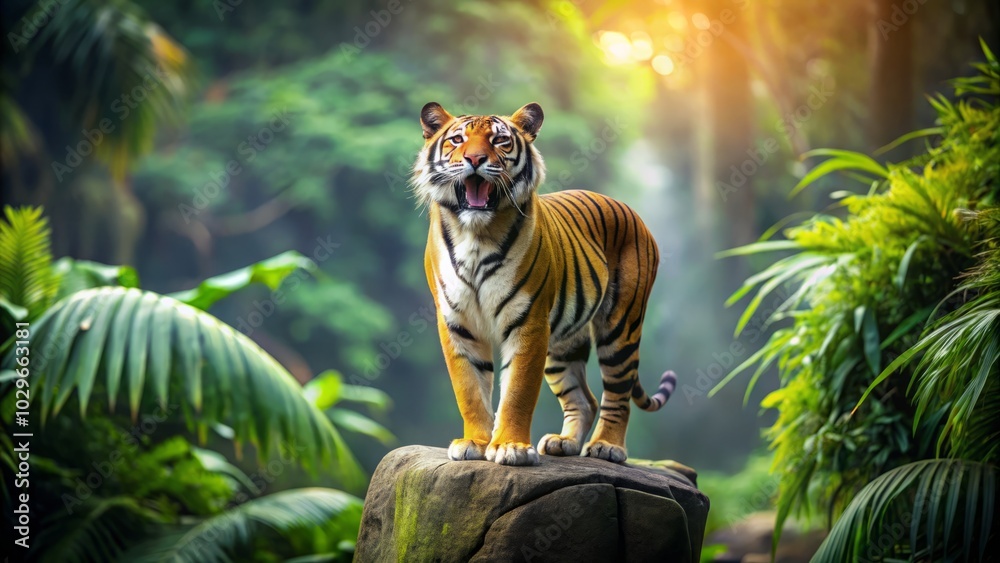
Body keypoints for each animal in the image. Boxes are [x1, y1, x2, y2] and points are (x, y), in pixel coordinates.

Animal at [411, 101, 677, 466]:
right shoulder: (457, 323)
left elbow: (517, 391)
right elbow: (469, 388)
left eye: (499, 141)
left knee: (617, 393)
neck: (475, 234)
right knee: (585, 398)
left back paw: (607, 446)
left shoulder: (529, 322)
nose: (475, 159)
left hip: (620, 326)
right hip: (562, 342)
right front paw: (475, 443)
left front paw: (510, 447)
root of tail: (626, 207)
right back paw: (563, 443)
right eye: (457, 139)